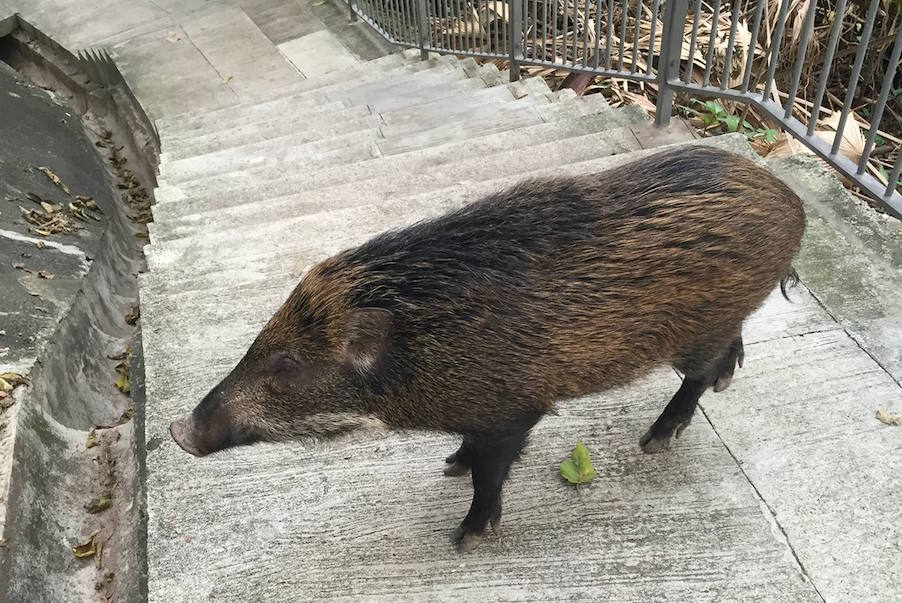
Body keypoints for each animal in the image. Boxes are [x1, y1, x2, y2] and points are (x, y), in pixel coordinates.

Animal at [170, 146, 805, 552]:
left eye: (289, 364)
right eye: (261, 343)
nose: (177, 431)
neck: (420, 354)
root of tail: (790, 201)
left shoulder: (514, 409)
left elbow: (489, 475)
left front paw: (464, 539)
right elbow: (471, 459)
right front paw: (449, 466)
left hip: (693, 334)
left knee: (694, 378)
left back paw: (655, 441)